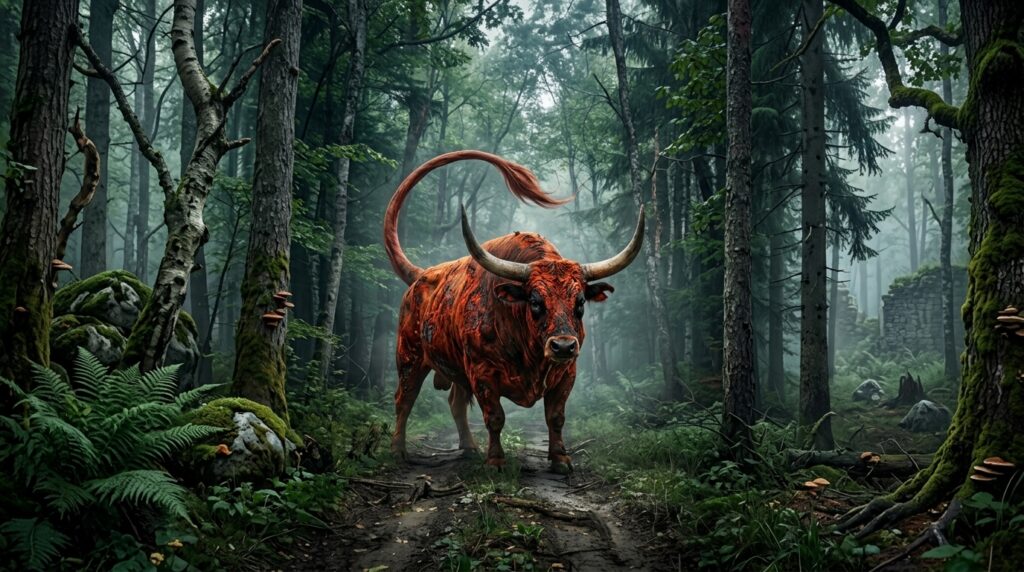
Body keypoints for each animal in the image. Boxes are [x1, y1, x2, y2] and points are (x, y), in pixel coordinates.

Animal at [383, 150, 644, 472]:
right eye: (535, 301)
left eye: (580, 301)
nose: (563, 346)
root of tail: (421, 276)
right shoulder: (482, 374)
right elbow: (495, 418)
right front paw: (496, 461)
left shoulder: (567, 373)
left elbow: (556, 417)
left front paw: (561, 459)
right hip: (409, 357)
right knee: (404, 400)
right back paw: (398, 451)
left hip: (454, 368)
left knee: (455, 402)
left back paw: (469, 448)